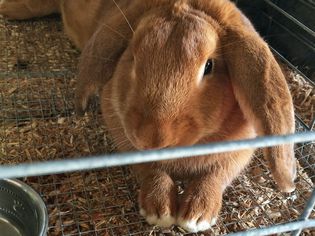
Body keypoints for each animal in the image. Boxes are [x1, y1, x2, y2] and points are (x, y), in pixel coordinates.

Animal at [0, 0, 296, 232]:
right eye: (132, 56)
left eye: (209, 66)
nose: (152, 138)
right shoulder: (122, 131)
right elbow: (149, 168)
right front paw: (160, 209)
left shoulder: (239, 149)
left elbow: (215, 175)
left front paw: (197, 215)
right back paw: (8, 10)